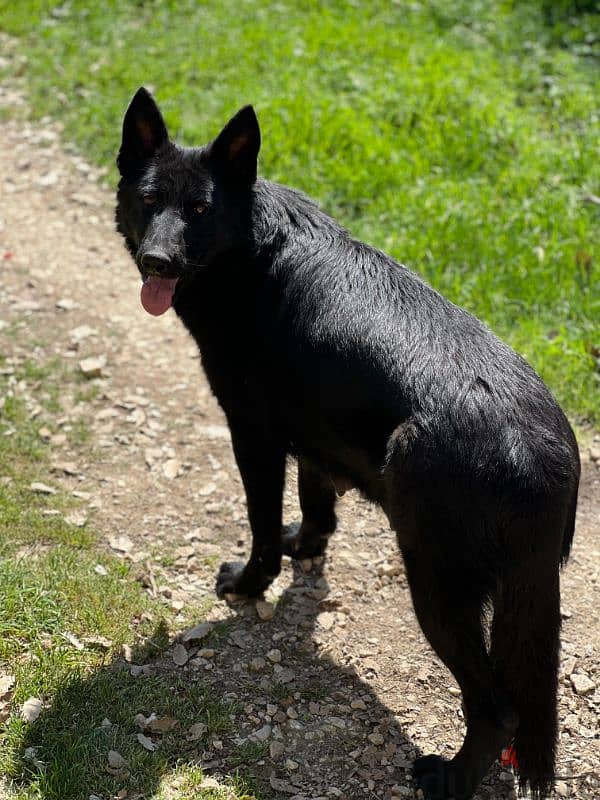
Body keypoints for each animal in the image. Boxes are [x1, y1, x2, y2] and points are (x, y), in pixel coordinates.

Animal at [115, 90, 580, 800]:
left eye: (198, 210)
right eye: (149, 199)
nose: (156, 264)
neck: (249, 254)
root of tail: (541, 454)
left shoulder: (252, 434)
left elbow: (261, 523)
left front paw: (251, 582)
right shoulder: (313, 436)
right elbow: (316, 505)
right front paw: (306, 547)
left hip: (437, 585)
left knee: (497, 708)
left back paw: (448, 778)